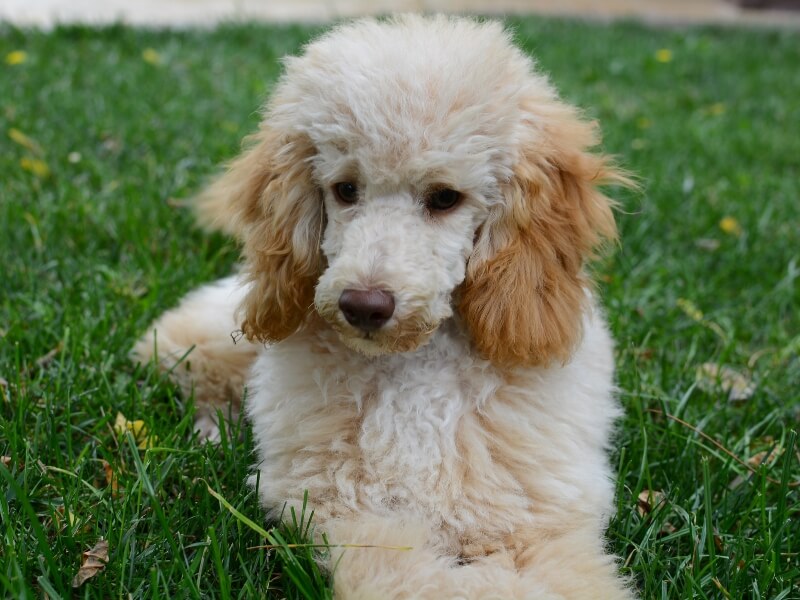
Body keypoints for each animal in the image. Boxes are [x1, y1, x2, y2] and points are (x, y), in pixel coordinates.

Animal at [134, 15, 636, 600]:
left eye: (445, 198)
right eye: (346, 189)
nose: (364, 306)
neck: (414, 372)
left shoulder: (539, 520)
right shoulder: (346, 507)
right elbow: (400, 576)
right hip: (214, 339)